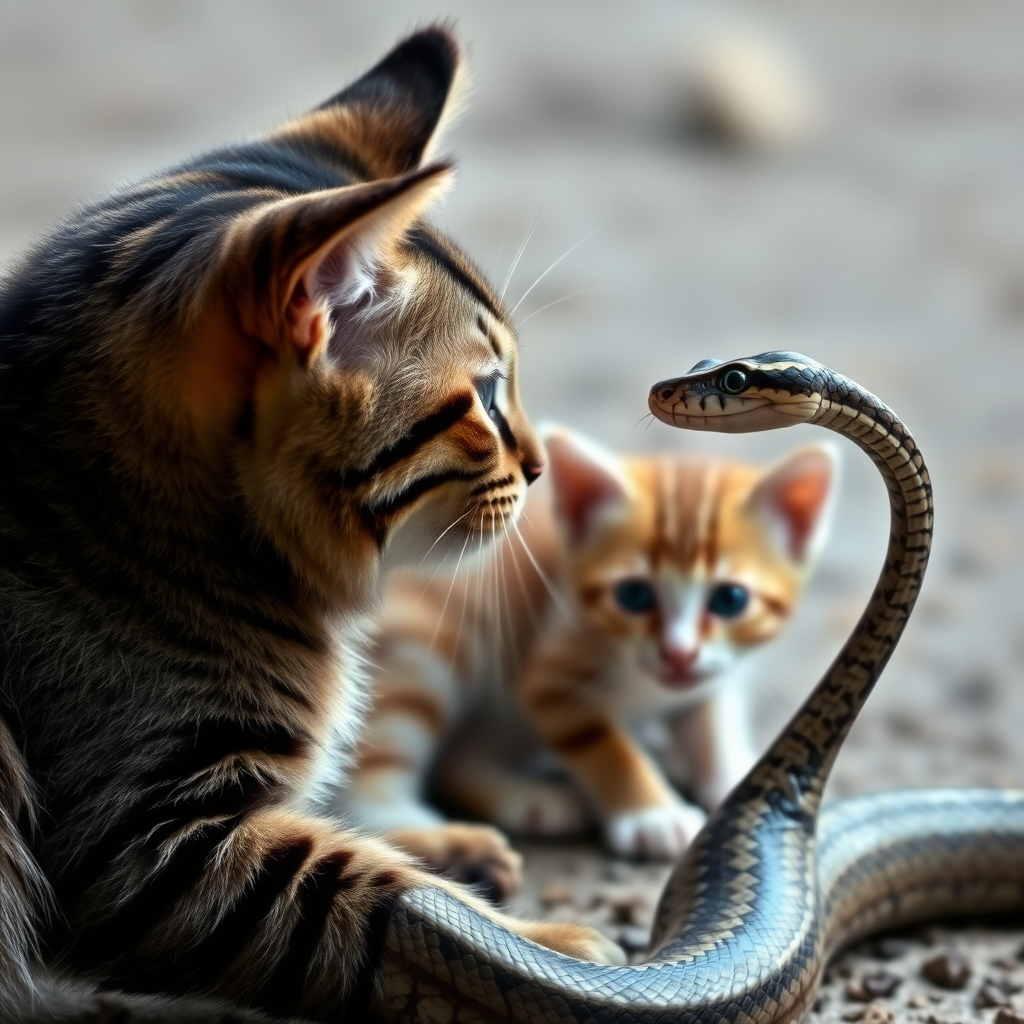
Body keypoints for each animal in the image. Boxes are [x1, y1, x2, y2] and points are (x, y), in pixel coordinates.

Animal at [2, 28, 622, 1019]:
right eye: (487, 398)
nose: (541, 466)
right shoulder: (140, 846)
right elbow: (382, 906)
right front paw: (545, 954)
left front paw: (446, 849)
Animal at [339, 428, 835, 884]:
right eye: (634, 595)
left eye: (730, 600)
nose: (678, 654)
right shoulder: (552, 674)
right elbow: (604, 744)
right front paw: (653, 816)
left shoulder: (709, 676)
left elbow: (712, 720)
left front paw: (736, 774)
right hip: (428, 648)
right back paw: (449, 842)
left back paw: (533, 800)